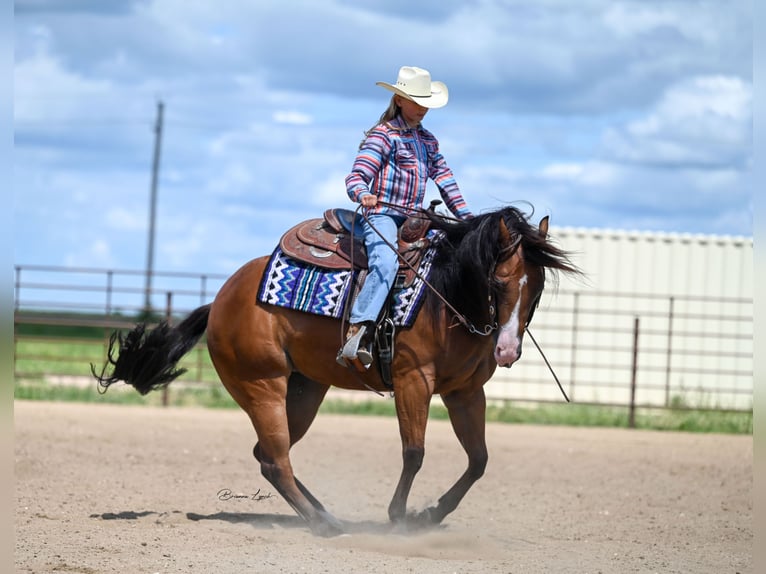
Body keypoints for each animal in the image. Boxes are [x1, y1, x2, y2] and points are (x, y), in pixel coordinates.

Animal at [93, 207, 580, 540]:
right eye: (498, 281)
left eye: (536, 286)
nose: (507, 349)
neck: (443, 295)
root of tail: (221, 300)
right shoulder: (413, 381)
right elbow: (414, 453)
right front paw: (399, 517)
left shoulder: (466, 392)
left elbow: (478, 460)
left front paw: (428, 515)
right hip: (261, 386)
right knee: (275, 460)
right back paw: (322, 524)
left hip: (305, 389)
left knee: (268, 454)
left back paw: (327, 514)